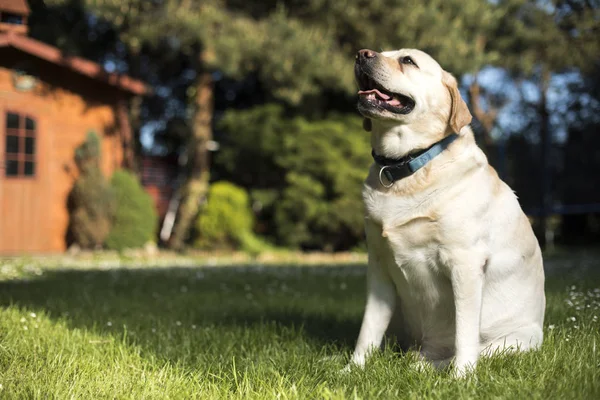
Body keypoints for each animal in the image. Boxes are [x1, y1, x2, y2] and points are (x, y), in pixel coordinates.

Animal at [350, 48, 548, 376]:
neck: (408, 167)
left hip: (513, 341)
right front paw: (352, 369)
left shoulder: (464, 263)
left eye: (407, 61)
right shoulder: (378, 265)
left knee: (470, 351)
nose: (361, 54)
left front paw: (462, 377)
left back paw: (429, 367)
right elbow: (368, 330)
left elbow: (464, 333)